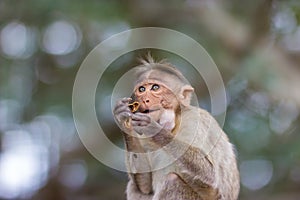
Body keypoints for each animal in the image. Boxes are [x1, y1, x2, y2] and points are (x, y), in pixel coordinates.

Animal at [112, 56, 239, 200]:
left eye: (155, 87)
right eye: (142, 89)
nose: (144, 99)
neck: (175, 125)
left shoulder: (195, 121)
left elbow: (210, 177)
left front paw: (156, 131)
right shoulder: (142, 136)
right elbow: (145, 186)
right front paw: (122, 117)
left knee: (173, 180)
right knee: (134, 187)